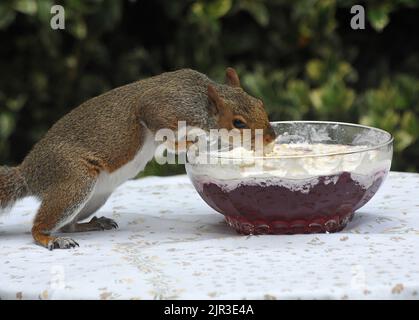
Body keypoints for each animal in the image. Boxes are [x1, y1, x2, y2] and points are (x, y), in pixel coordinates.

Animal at [0, 67, 278, 250]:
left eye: (260, 102)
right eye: (238, 123)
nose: (271, 137)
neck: (201, 101)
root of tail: (28, 173)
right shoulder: (162, 106)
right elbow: (152, 115)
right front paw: (188, 143)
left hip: (93, 196)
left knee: (67, 224)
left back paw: (90, 225)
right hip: (74, 180)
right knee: (39, 227)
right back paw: (50, 239)